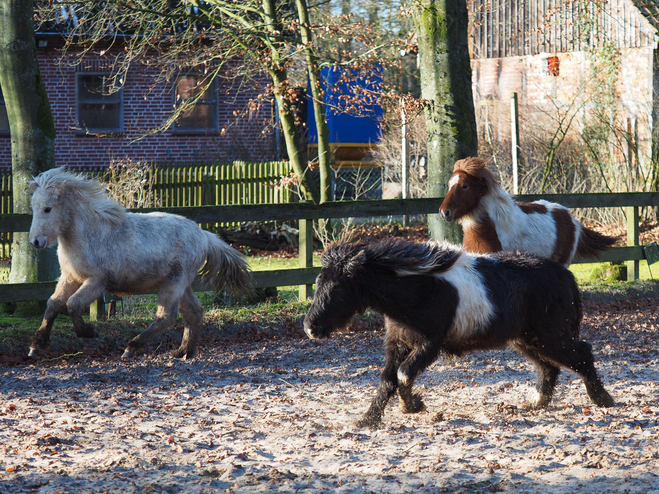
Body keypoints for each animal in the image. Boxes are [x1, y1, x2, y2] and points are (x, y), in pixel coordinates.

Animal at [304, 239, 612, 428]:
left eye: (338, 287)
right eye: (318, 283)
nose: (310, 328)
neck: (417, 288)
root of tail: (566, 276)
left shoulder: (429, 344)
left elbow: (403, 375)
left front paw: (413, 406)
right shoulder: (398, 344)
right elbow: (388, 379)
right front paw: (368, 420)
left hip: (551, 337)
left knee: (582, 353)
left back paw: (602, 399)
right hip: (527, 339)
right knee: (550, 368)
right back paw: (533, 404)